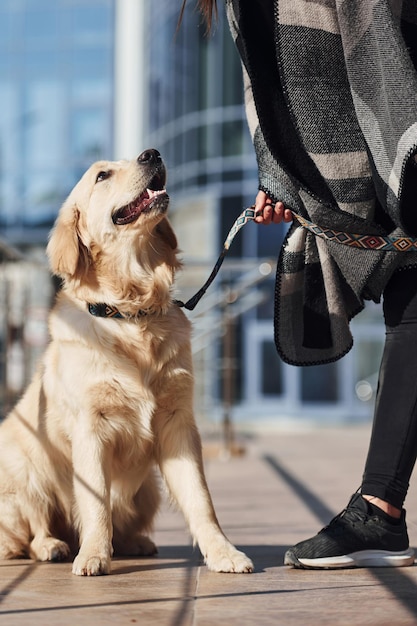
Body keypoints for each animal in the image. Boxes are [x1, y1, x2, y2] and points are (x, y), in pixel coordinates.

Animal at [0, 149, 254, 572]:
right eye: (102, 175)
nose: (152, 154)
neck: (130, 313)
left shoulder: (177, 422)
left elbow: (201, 500)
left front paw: (223, 553)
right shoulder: (90, 428)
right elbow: (96, 503)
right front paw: (93, 555)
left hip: (149, 488)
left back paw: (134, 542)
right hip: (24, 469)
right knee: (29, 533)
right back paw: (55, 545)